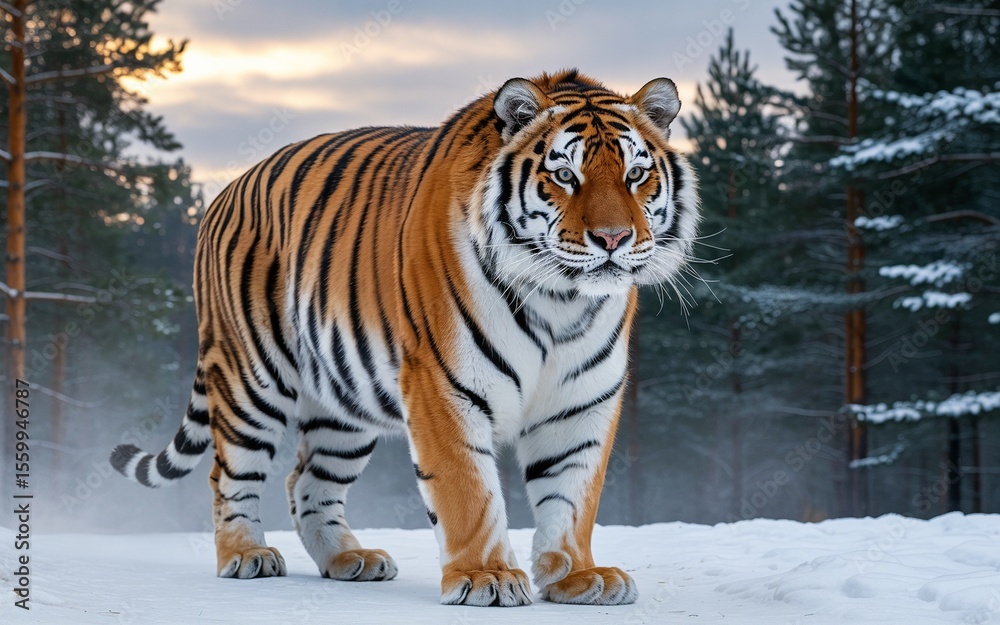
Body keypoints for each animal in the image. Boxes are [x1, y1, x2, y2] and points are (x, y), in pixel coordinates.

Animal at [110, 69, 699, 607]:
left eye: (636, 174)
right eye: (564, 175)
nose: (613, 238)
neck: (562, 301)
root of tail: (225, 191)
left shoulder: (583, 398)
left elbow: (573, 494)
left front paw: (578, 576)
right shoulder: (445, 385)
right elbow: (467, 489)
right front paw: (486, 577)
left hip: (342, 405)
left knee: (307, 482)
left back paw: (349, 559)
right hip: (250, 377)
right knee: (230, 473)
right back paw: (244, 554)